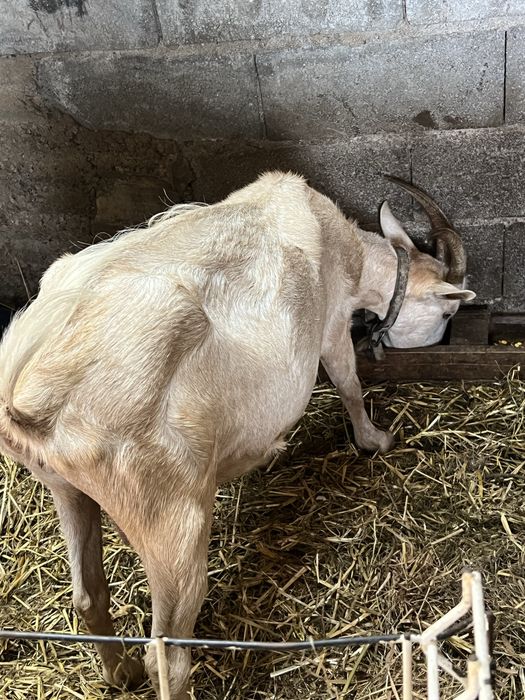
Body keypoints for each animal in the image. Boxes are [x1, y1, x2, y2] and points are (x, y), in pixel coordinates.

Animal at [0, 172, 475, 698]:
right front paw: (377, 439)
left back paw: (119, 673)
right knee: (167, 654)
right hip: (172, 520)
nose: (443, 339)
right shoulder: (332, 322)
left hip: (63, 487)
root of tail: (32, 398)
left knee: (88, 596)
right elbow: (348, 382)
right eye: (447, 313)